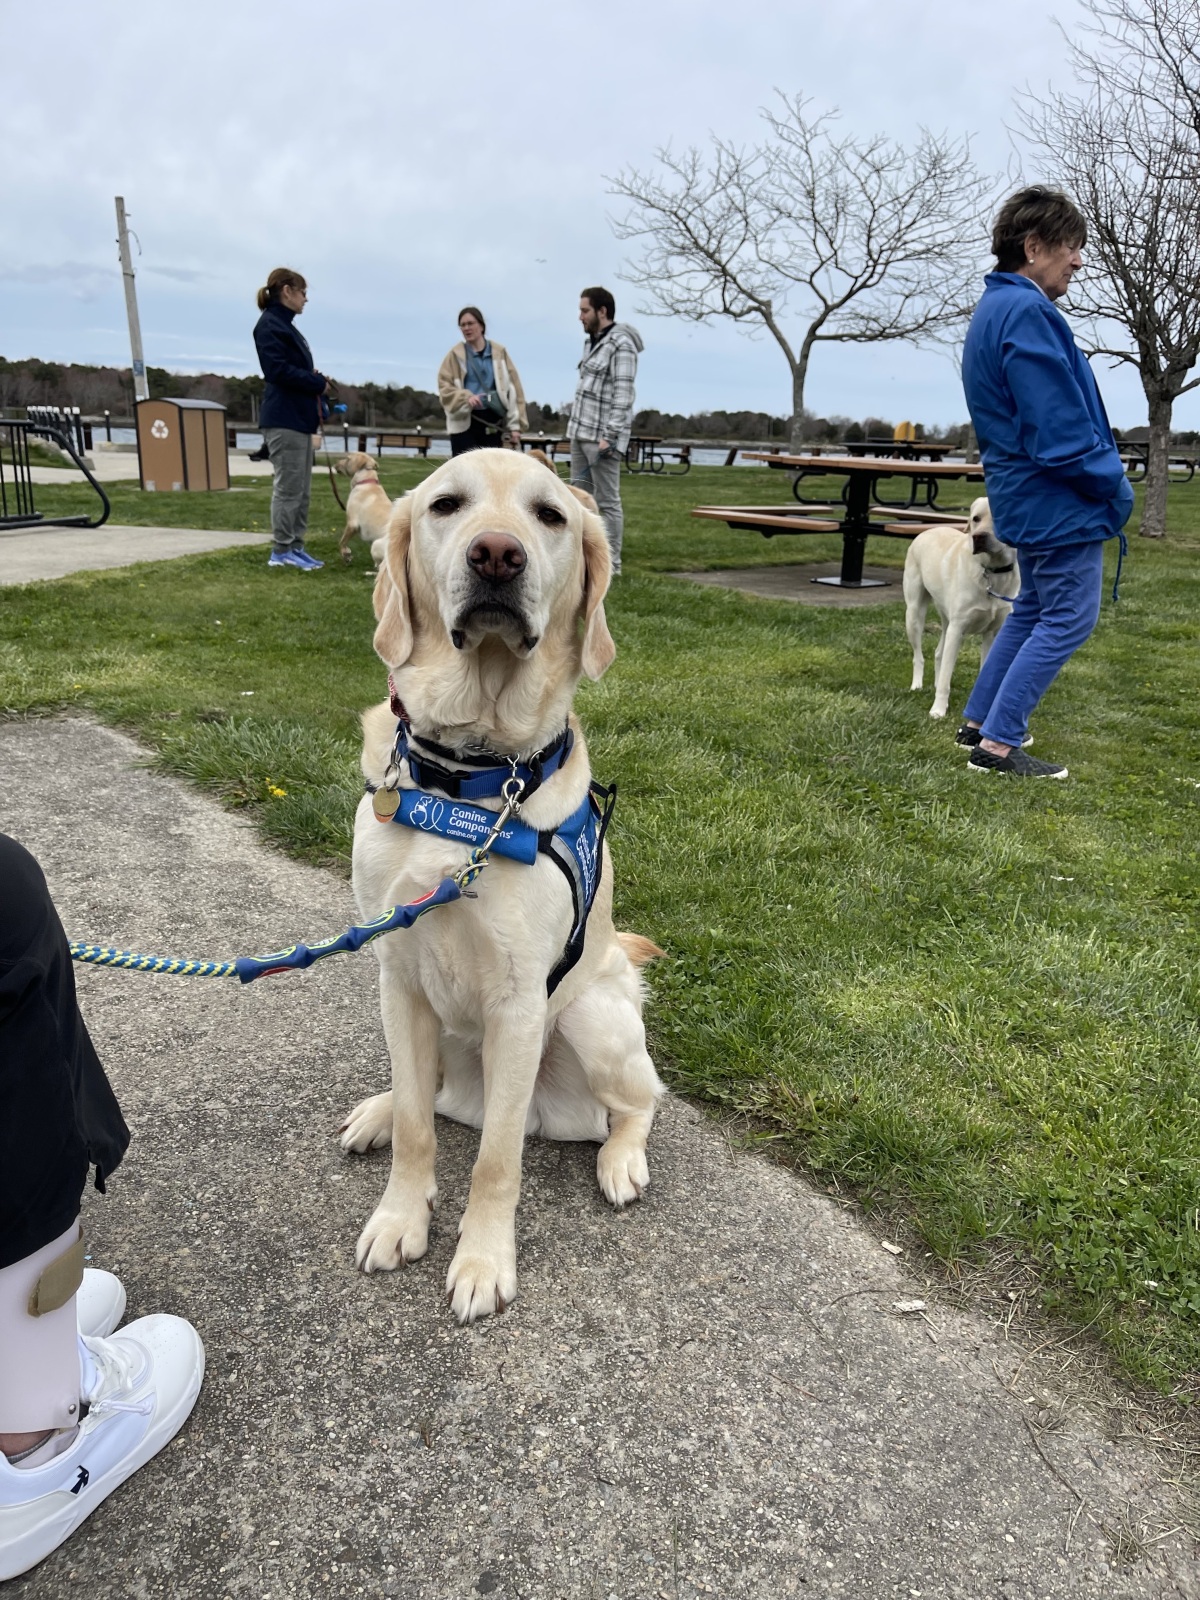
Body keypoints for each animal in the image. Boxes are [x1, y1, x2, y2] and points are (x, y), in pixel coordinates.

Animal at [339, 448, 668, 1324]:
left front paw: (483, 1261)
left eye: (549, 515)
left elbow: (495, 1161)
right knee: (426, 1097)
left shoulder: (519, 1003)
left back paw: (621, 1160)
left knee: (638, 1103)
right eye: (446, 505)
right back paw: (375, 1111)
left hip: (591, 1017)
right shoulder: (397, 975)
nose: (496, 555)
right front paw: (399, 1215)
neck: (473, 773)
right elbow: (417, 1127)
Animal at [902, 496, 1024, 723]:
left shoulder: (992, 633)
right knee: (919, 655)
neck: (991, 573)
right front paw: (938, 710)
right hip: (915, 614)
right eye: (976, 519)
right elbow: (945, 681)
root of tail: (927, 530)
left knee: (938, 652)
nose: (979, 537)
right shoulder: (957, 630)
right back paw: (917, 685)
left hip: (946, 620)